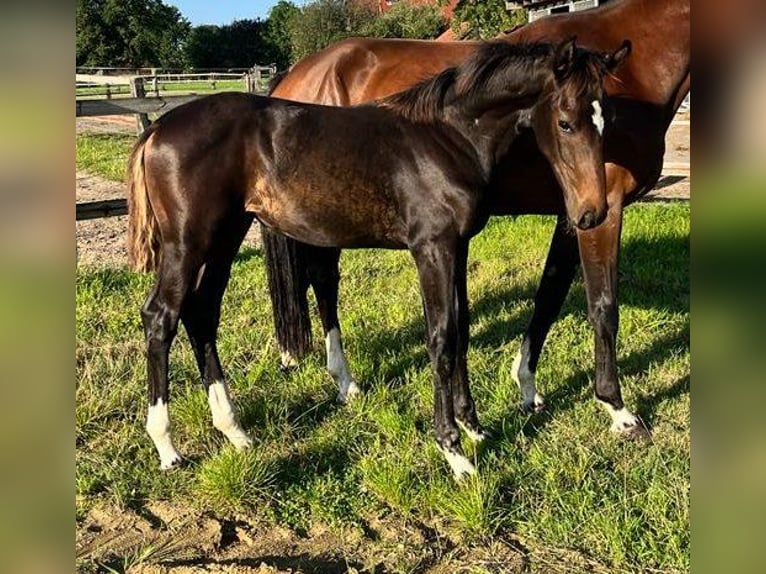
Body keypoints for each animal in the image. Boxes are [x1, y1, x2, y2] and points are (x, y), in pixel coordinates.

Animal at [127, 40, 632, 480]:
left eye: (606, 119)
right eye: (565, 122)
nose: (592, 213)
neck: (447, 137)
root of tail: (156, 130)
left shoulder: (458, 245)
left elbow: (462, 328)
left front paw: (474, 426)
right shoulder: (431, 248)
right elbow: (440, 337)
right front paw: (453, 451)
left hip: (226, 236)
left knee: (202, 313)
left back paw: (234, 431)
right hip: (188, 243)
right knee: (161, 316)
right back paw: (167, 446)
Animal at [262, 0, 688, 440]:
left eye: (610, 122)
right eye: (566, 124)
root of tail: (293, 76)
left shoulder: (575, 215)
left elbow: (548, 296)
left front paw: (527, 388)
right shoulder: (602, 213)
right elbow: (603, 306)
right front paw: (617, 409)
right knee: (324, 281)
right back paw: (345, 380)